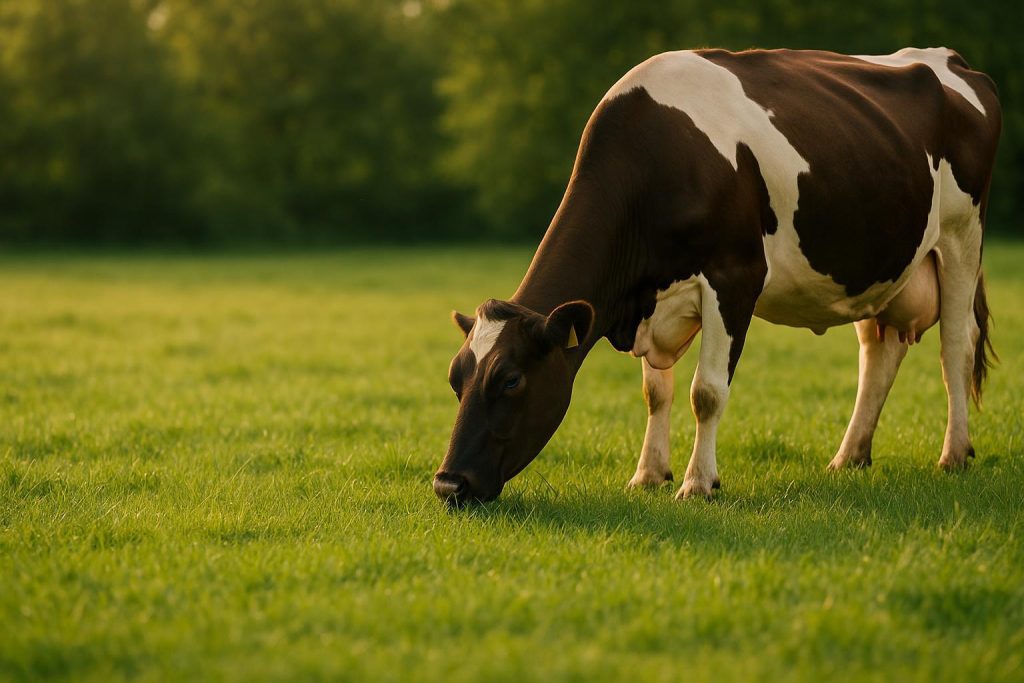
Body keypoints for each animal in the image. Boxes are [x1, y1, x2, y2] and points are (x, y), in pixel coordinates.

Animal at [434, 47, 1001, 504]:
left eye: (511, 379)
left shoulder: (733, 278)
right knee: (879, 353)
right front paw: (648, 474)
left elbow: (705, 392)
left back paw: (954, 454)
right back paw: (849, 457)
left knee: (956, 346)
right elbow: (656, 393)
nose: (447, 484)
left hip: (961, 237)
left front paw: (697, 483)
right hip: (879, 266)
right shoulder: (652, 297)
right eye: (456, 378)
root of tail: (950, 61)